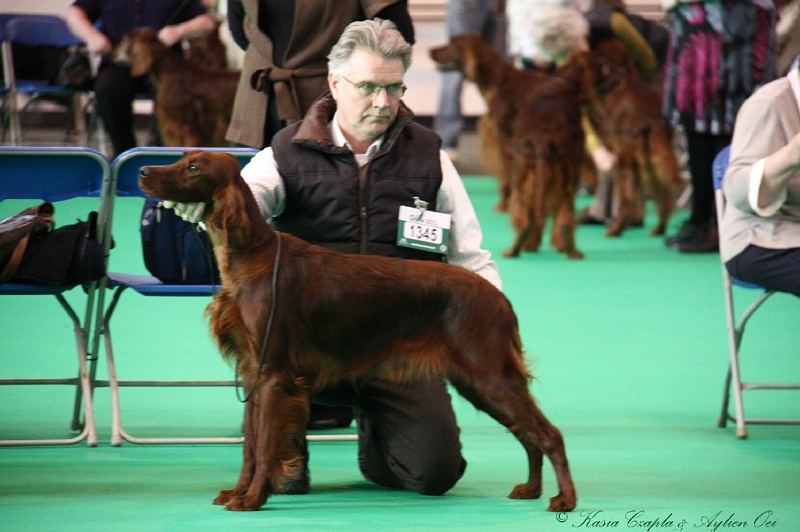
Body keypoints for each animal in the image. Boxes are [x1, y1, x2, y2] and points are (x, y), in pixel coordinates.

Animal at [136, 151, 576, 516]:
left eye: (194, 167)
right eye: (181, 159)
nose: (143, 171)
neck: (251, 257)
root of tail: (497, 297)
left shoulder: (274, 375)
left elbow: (263, 447)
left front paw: (253, 499)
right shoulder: (252, 373)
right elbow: (250, 448)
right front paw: (238, 492)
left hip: (489, 374)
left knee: (549, 433)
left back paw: (564, 499)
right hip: (478, 382)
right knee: (528, 433)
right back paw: (531, 489)